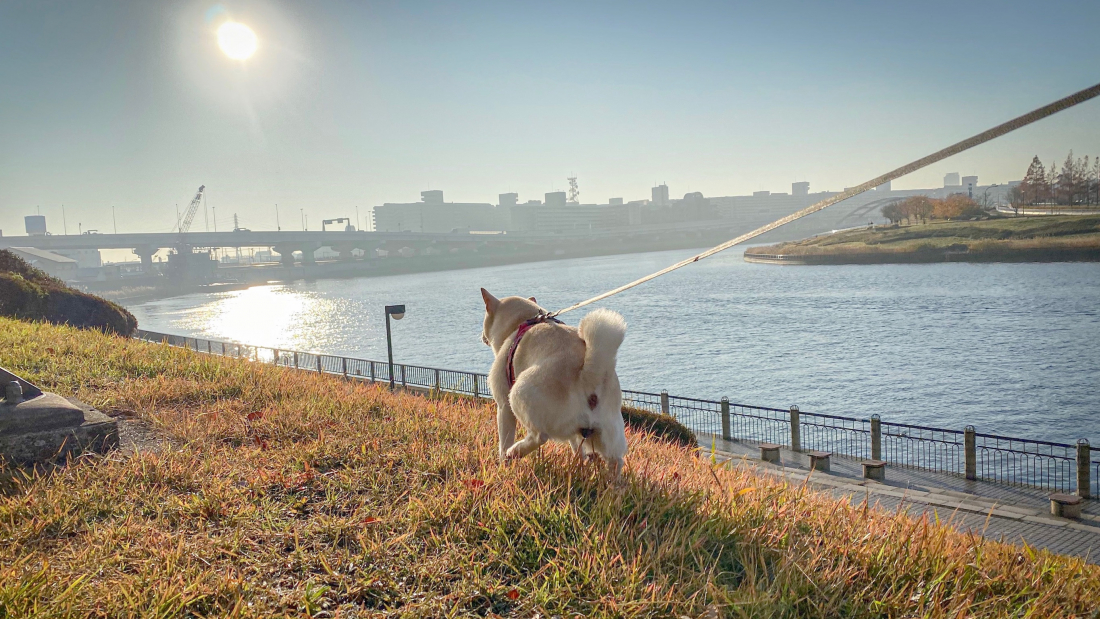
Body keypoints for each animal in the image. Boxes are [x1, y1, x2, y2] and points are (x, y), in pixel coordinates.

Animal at [481, 290, 629, 474]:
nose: (482, 336)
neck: (524, 321)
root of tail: (589, 374)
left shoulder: (503, 406)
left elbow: (504, 439)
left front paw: (503, 466)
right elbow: (578, 448)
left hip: (518, 393)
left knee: (539, 436)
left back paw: (514, 452)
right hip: (604, 433)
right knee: (614, 460)